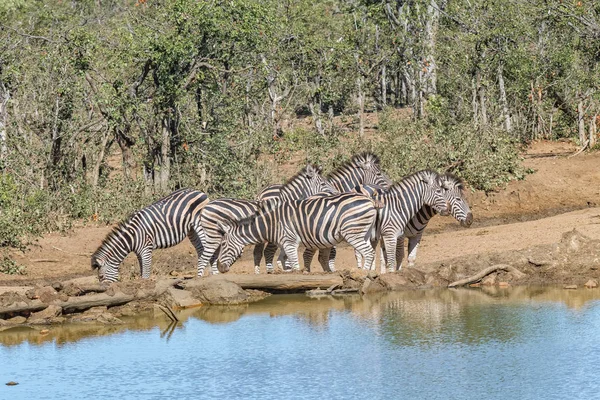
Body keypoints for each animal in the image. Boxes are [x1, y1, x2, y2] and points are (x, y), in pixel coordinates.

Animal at [198, 164, 336, 276]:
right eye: (323, 184)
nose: (336, 193)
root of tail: (206, 207)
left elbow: (266, 254)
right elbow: (271, 253)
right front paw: (276, 271)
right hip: (213, 236)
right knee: (204, 257)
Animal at [216, 192, 380, 274]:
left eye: (223, 244)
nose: (219, 267)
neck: (271, 223)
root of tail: (369, 199)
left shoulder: (289, 241)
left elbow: (294, 264)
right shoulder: (284, 243)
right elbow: (284, 261)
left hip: (352, 232)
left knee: (369, 252)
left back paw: (364, 274)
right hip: (363, 232)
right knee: (370, 251)